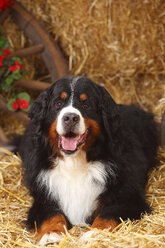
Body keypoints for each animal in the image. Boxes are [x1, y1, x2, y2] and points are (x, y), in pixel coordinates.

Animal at [19, 75, 159, 244]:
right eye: (58, 103)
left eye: (86, 105)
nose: (70, 118)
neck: (74, 164)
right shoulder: (44, 197)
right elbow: (51, 214)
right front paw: (51, 234)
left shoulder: (129, 197)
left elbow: (108, 213)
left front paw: (95, 233)